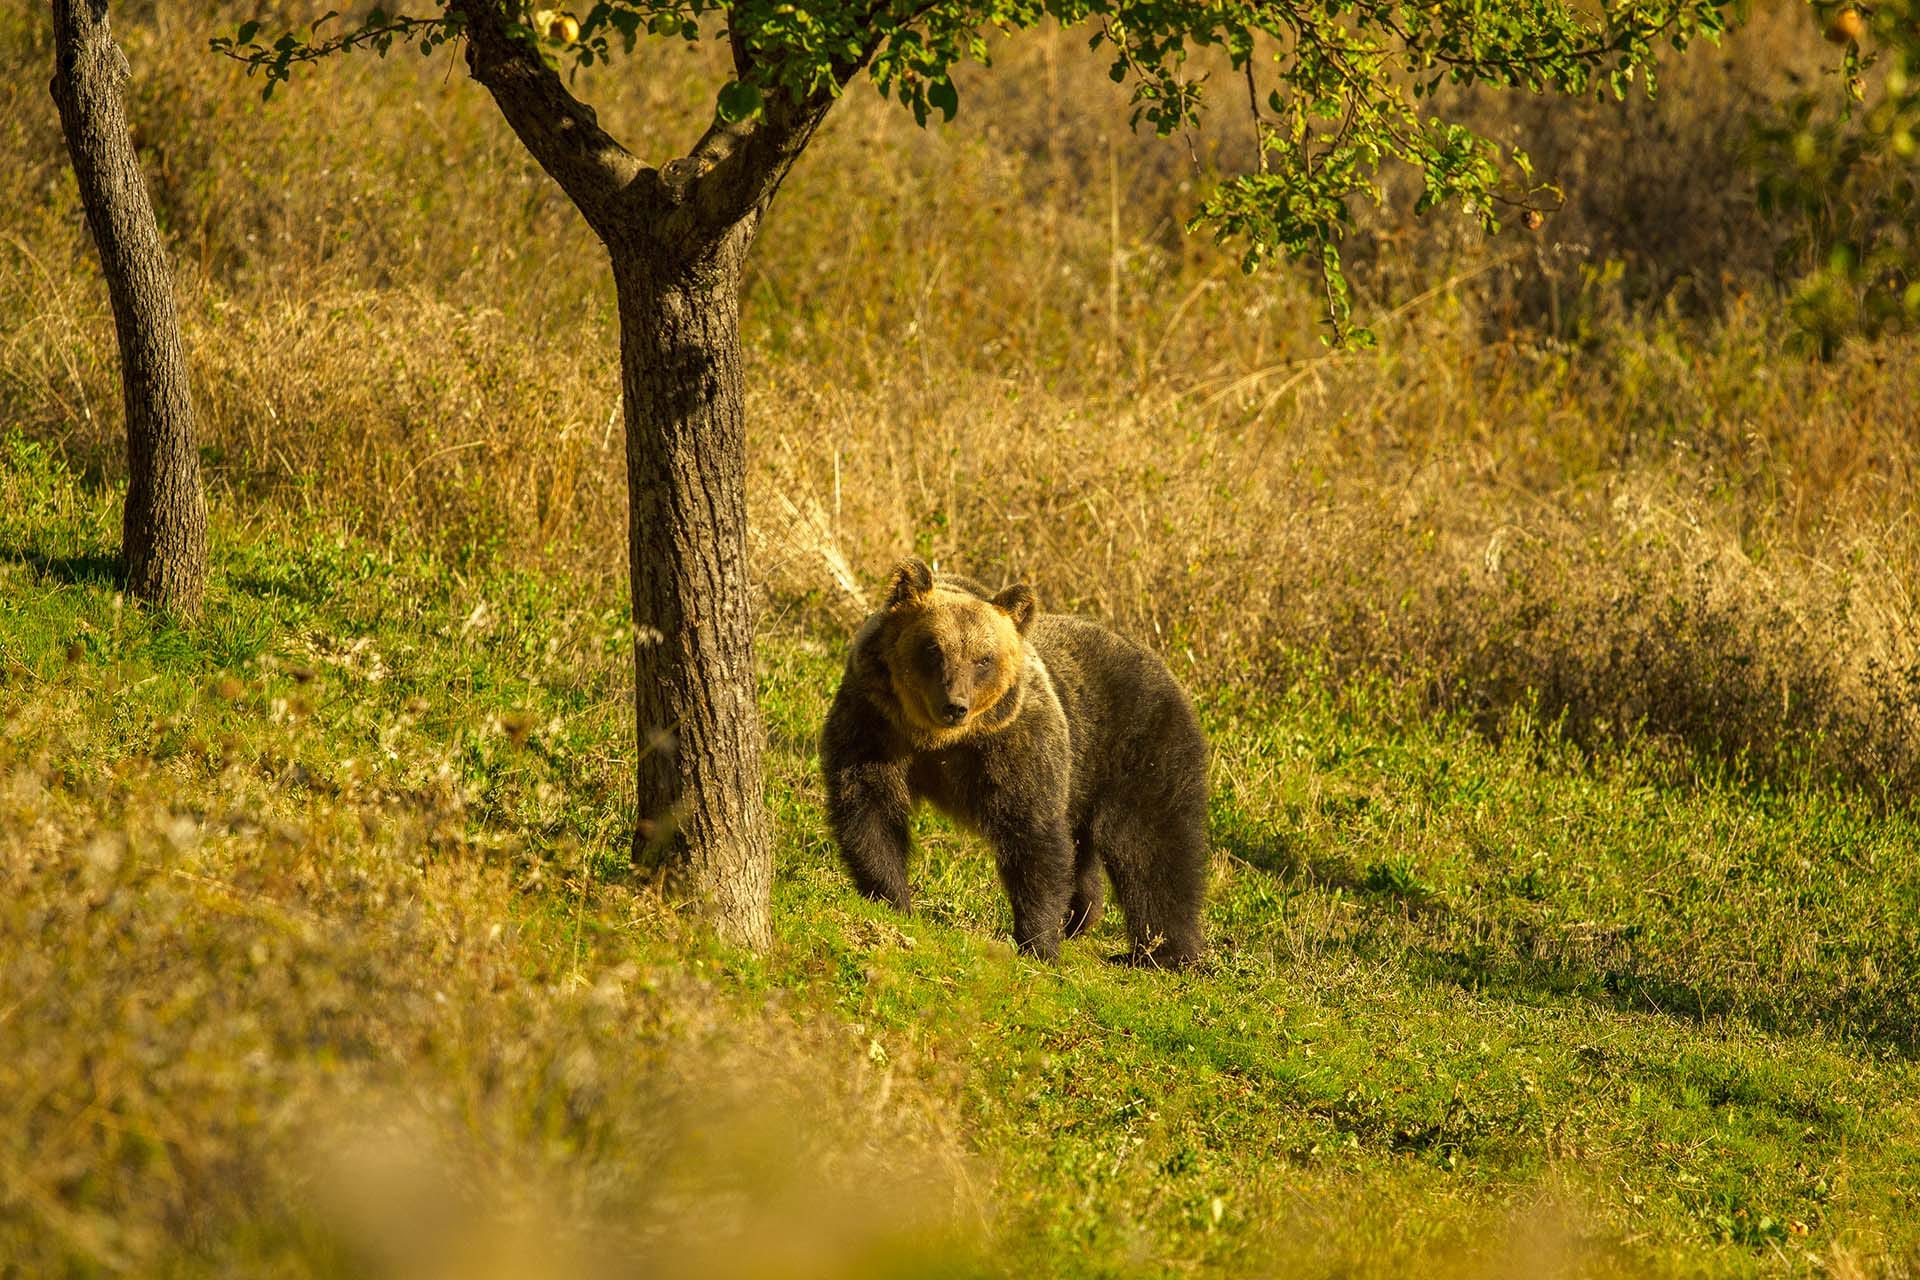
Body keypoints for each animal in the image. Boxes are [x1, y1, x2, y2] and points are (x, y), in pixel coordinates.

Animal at [819, 556, 1209, 966]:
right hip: (1083, 778)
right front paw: (891, 898)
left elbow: (1032, 834)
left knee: (1151, 846)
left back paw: (1162, 952)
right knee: (1089, 850)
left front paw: (1037, 942)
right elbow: (870, 806)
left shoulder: (1015, 743)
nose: (955, 705)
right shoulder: (874, 722)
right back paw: (1080, 919)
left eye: (983, 659)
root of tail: (1161, 664)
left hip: (1136, 746)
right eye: (933, 648)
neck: (938, 740)